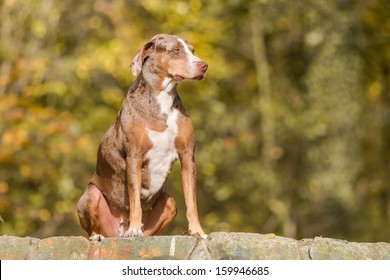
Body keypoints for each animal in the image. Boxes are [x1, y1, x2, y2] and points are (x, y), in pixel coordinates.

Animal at [77, 34, 209, 240]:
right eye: (176, 50)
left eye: (193, 50)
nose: (204, 65)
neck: (162, 101)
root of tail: (118, 232)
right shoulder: (134, 157)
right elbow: (134, 199)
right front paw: (134, 228)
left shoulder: (188, 157)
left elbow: (191, 202)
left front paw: (197, 231)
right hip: (91, 195)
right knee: (93, 225)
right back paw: (100, 235)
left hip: (170, 202)